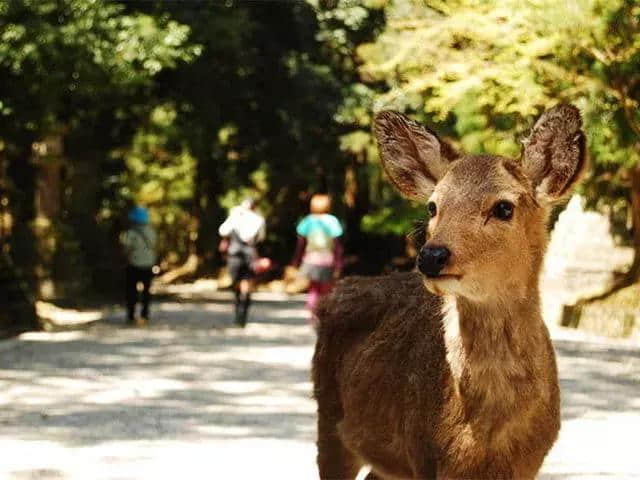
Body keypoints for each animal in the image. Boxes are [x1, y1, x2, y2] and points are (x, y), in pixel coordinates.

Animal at [310, 103, 584, 478]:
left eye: (504, 207)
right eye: (433, 206)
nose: (431, 255)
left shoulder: (531, 461)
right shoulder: (423, 452)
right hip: (328, 415)